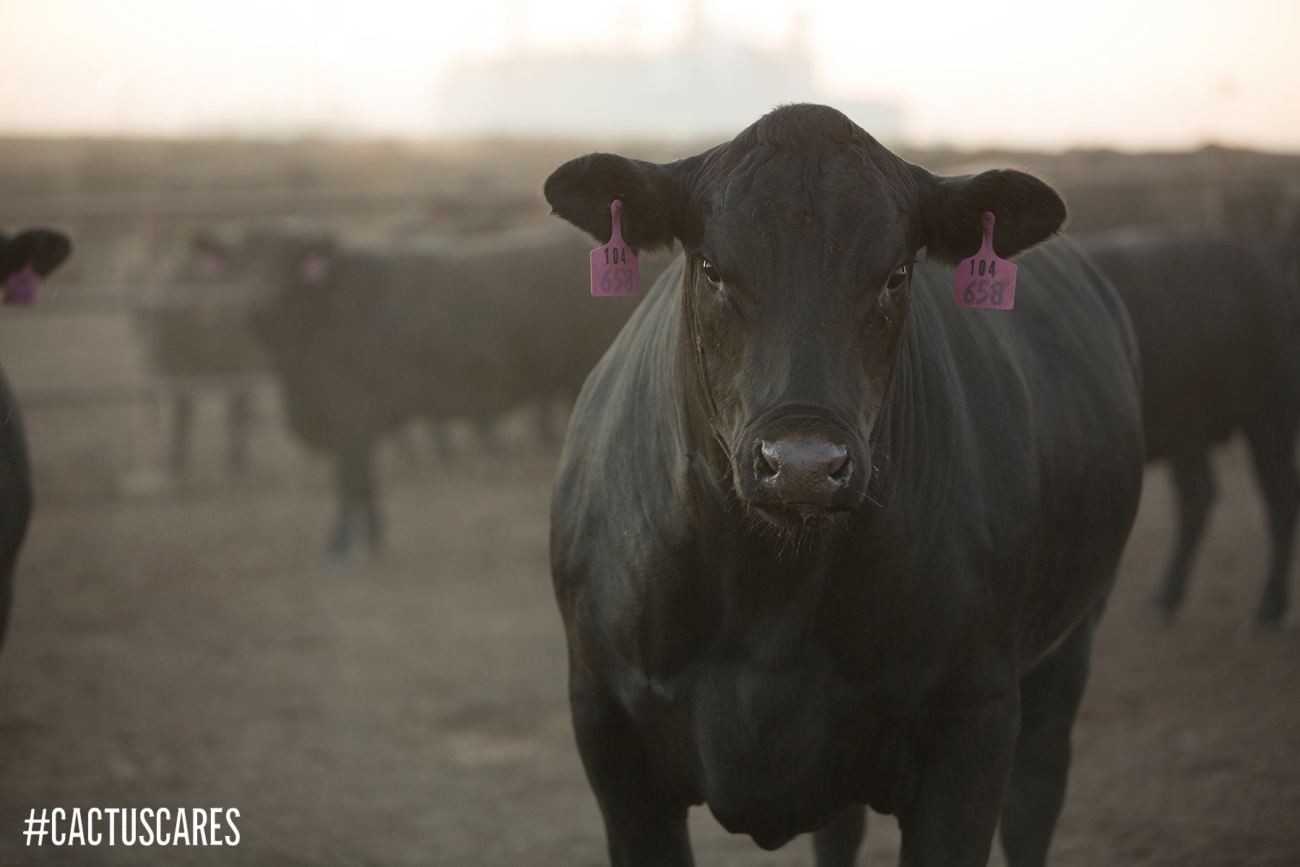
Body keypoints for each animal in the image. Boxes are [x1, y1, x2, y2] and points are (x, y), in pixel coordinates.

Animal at [543, 106, 1144, 867]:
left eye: (896, 273)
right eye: (711, 267)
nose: (803, 463)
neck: (770, 601)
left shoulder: (974, 723)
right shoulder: (607, 729)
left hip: (1072, 637)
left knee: (1036, 797)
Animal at [1086, 230, 1300, 626]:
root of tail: (1265, 252)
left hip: (1270, 418)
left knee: (1280, 498)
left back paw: (1270, 606)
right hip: (1188, 433)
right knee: (1199, 496)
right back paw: (1168, 597)